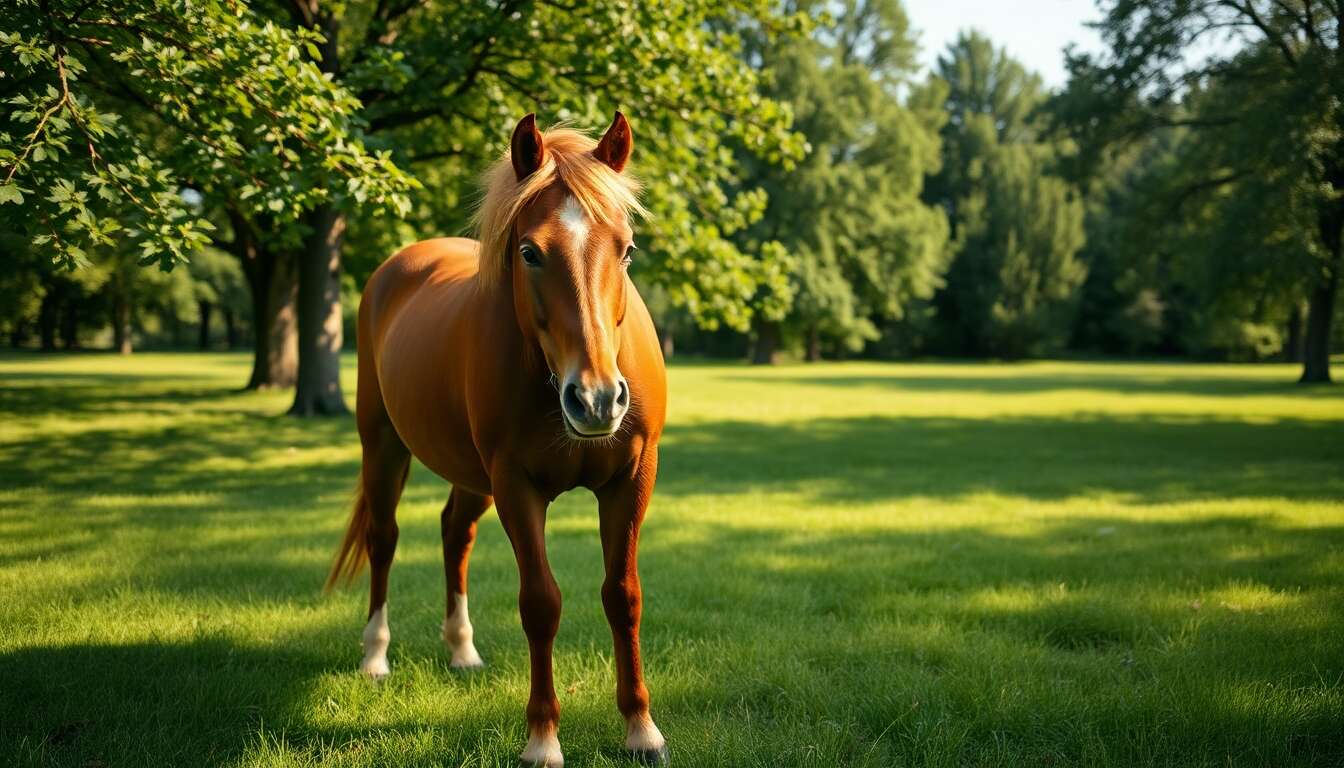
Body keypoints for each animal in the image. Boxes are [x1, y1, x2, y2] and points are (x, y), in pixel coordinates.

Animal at [325, 112, 668, 767]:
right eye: (530, 252)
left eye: (628, 249)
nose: (596, 400)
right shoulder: (515, 483)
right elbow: (541, 603)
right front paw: (543, 738)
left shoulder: (632, 479)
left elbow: (624, 596)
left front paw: (641, 728)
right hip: (383, 445)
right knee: (384, 539)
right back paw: (375, 655)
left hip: (470, 475)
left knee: (454, 532)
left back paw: (462, 650)